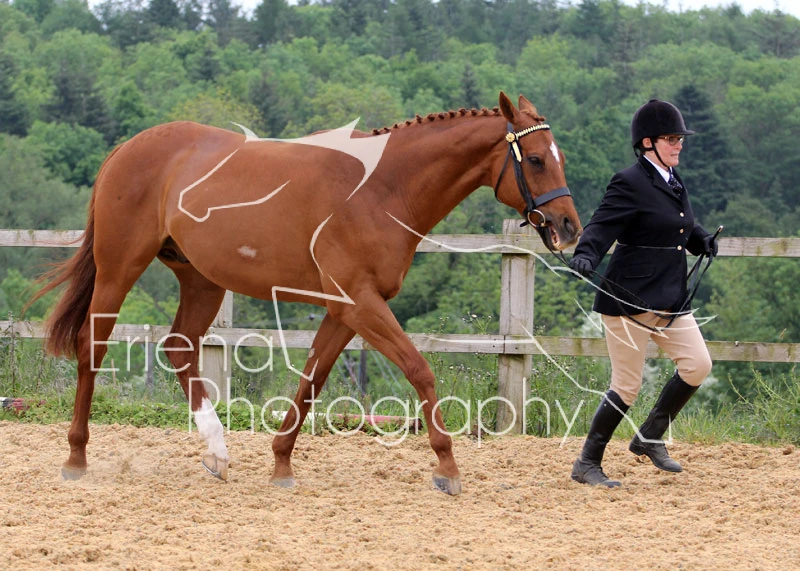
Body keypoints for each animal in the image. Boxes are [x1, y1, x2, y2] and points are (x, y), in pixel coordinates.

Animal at [32, 92, 582, 495]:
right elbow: (419, 370)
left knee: (179, 348)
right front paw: (447, 468)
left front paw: (281, 464)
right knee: (92, 348)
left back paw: (217, 452)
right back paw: (76, 457)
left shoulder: (345, 311)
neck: (381, 188)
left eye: (560, 157)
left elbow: (312, 381)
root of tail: (127, 149)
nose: (568, 228)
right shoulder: (360, 304)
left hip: (202, 281)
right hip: (118, 269)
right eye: (535, 159)